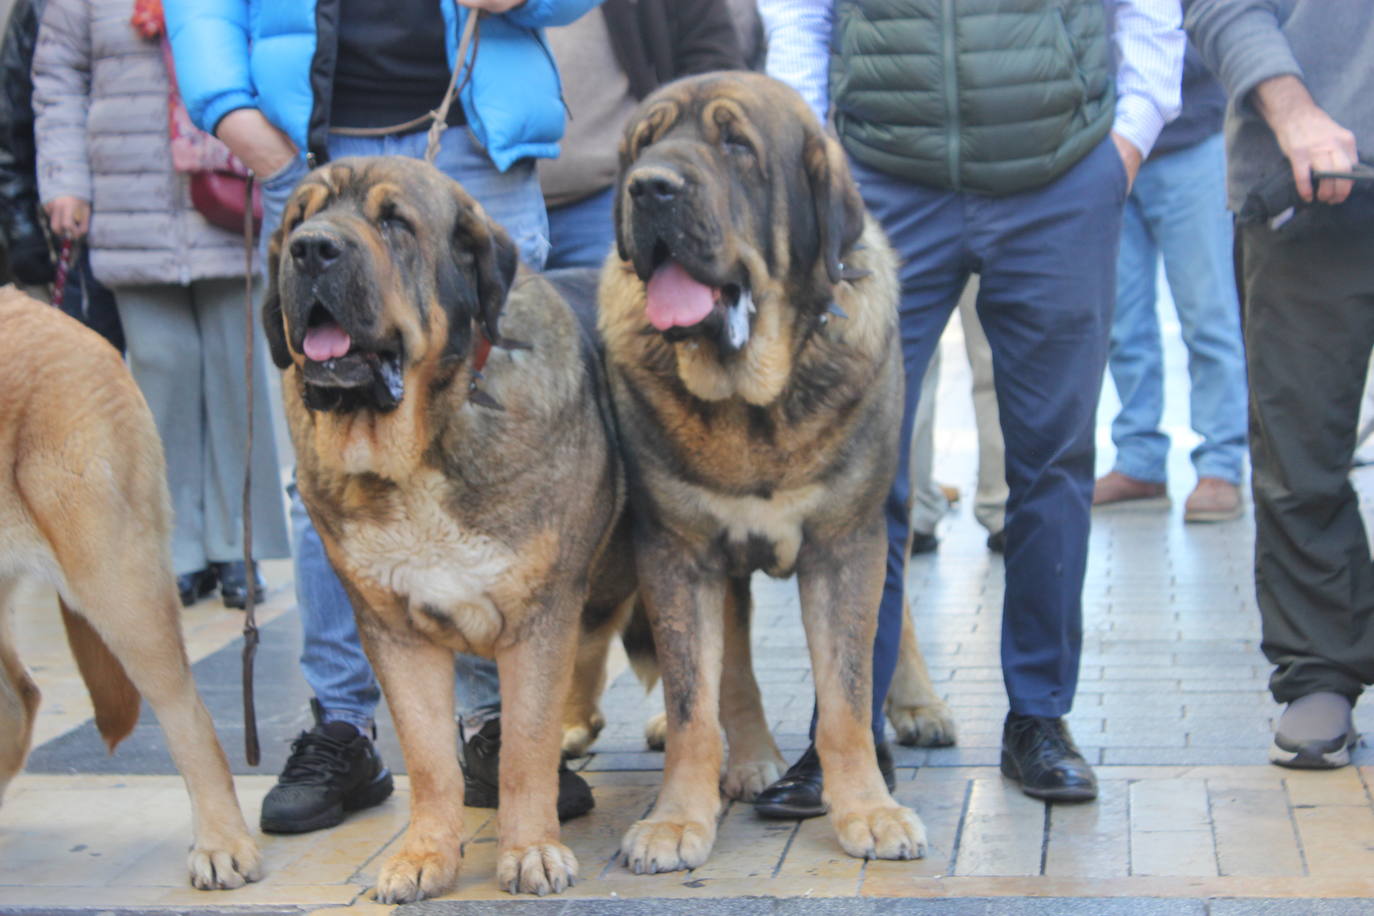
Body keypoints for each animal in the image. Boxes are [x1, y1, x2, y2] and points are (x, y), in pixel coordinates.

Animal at [596, 73, 950, 873]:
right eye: (643, 142)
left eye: (736, 145)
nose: (649, 187)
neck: (752, 400)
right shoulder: (678, 554)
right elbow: (695, 698)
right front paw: (677, 818)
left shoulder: (848, 545)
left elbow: (847, 694)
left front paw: (868, 809)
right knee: (729, 672)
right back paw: (748, 756)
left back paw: (918, 705)